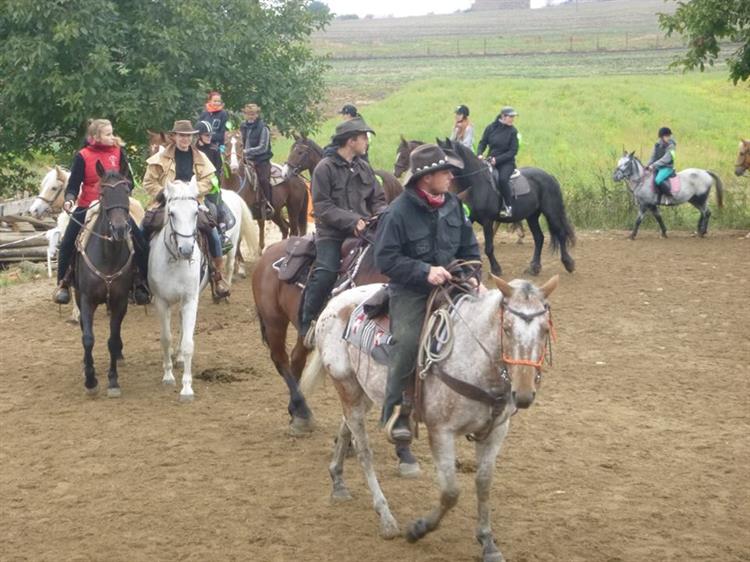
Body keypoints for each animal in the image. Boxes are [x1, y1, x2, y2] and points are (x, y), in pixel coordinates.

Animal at [74, 162, 138, 396]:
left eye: (127, 190)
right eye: (103, 193)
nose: (119, 229)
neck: (107, 255)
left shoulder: (120, 301)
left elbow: (112, 339)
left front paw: (113, 381)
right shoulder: (86, 300)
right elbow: (88, 338)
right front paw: (91, 381)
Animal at [148, 177, 209, 400]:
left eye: (195, 213)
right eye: (172, 213)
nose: (186, 250)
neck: (175, 261)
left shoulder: (190, 300)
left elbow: (189, 343)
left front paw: (187, 388)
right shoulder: (161, 302)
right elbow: (166, 339)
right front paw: (168, 376)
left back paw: (181, 358)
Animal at [302, 272, 560, 560]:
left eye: (545, 330)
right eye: (506, 329)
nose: (523, 395)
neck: (473, 360)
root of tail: (334, 302)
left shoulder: (494, 433)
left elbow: (483, 484)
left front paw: (488, 542)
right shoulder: (441, 432)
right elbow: (450, 493)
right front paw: (418, 529)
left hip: (363, 391)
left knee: (345, 428)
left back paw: (337, 481)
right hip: (346, 386)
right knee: (363, 451)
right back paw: (385, 517)